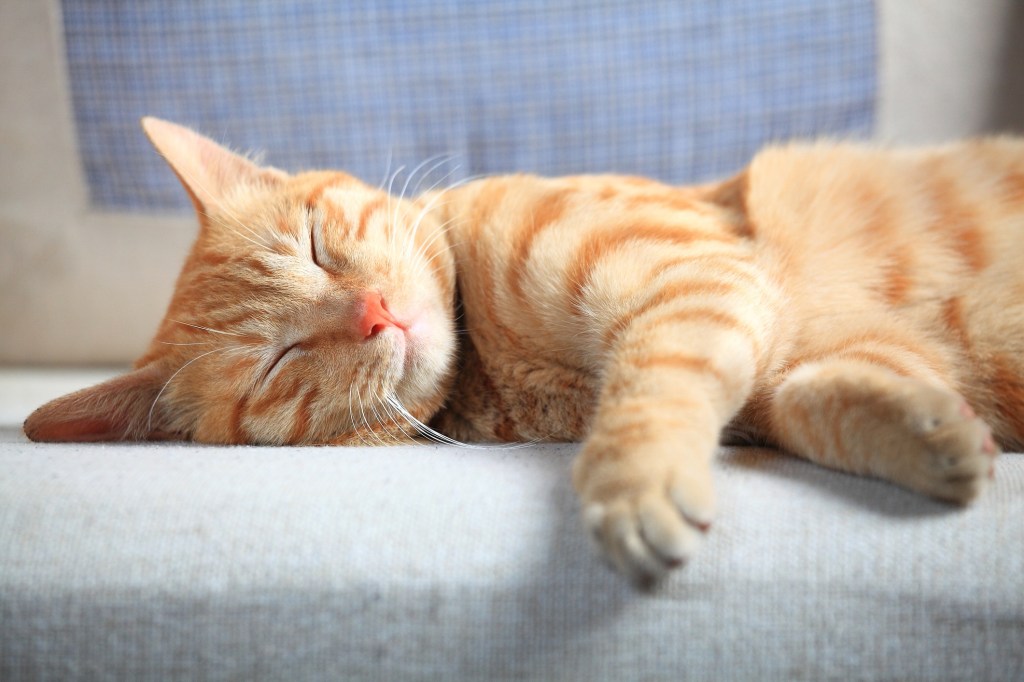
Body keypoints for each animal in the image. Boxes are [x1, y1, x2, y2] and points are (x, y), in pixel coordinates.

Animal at [24, 115, 1015, 577]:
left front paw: (633, 488)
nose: (376, 312)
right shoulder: (757, 338)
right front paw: (934, 437)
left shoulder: (699, 278)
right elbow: (822, 395)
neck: (495, 368)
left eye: (312, 245)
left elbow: (647, 396)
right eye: (280, 359)